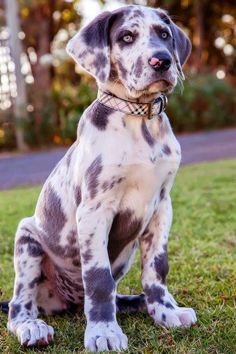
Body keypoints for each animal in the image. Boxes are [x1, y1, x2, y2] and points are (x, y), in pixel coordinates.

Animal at [6, 4, 197, 352]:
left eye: (164, 34)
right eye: (126, 37)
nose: (161, 60)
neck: (139, 120)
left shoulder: (162, 206)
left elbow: (157, 267)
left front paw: (165, 311)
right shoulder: (95, 210)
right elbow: (98, 278)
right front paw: (104, 332)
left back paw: (138, 302)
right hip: (27, 242)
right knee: (19, 305)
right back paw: (32, 326)